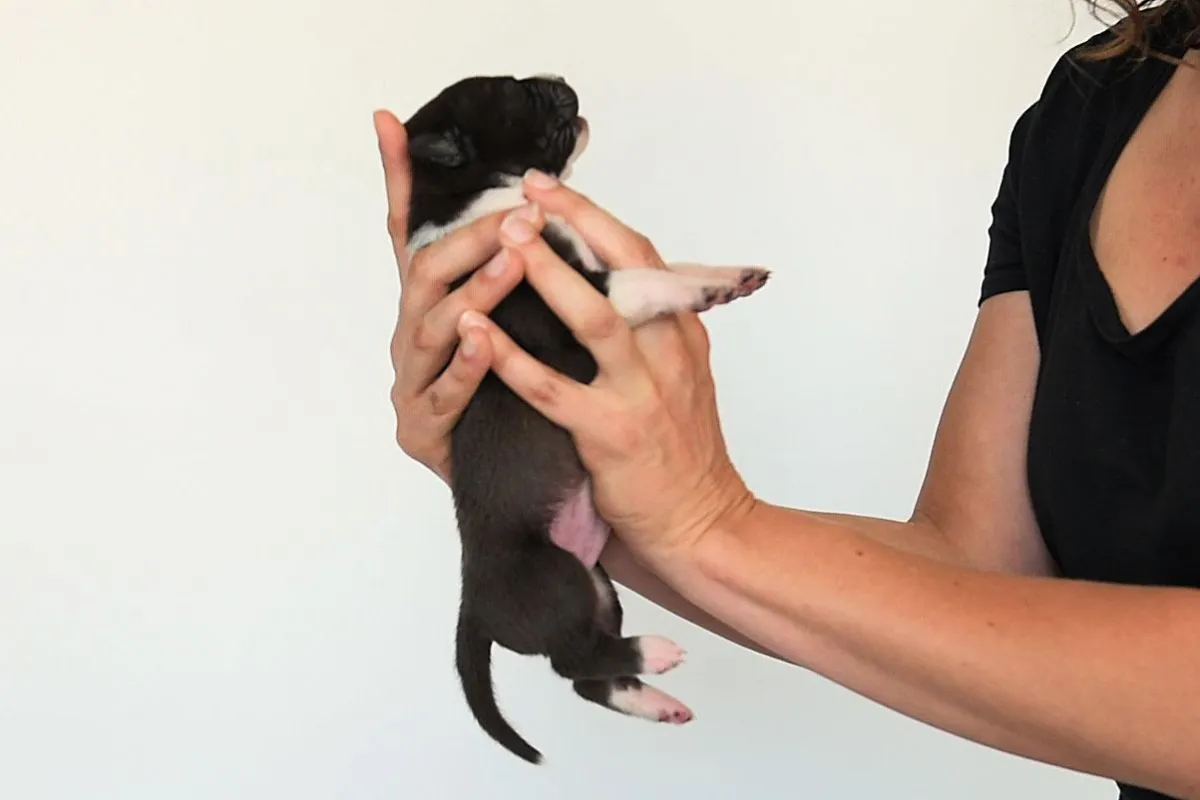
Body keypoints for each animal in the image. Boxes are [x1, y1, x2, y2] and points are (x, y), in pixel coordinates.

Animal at [403, 76, 768, 767]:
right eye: (511, 93)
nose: (559, 81)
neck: (479, 192)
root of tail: (472, 608)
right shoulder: (589, 298)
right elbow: (650, 281)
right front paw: (701, 290)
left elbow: (669, 266)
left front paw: (725, 278)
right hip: (562, 579)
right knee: (576, 658)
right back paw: (655, 653)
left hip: (602, 586)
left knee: (586, 678)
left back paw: (655, 700)